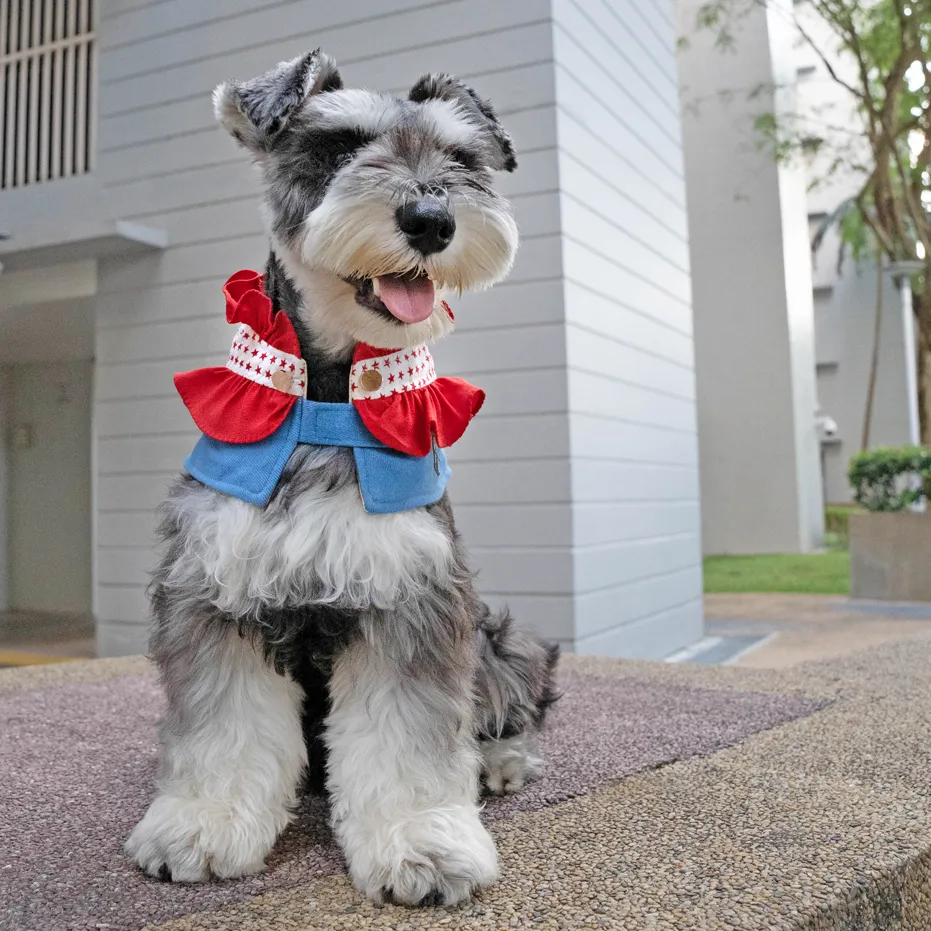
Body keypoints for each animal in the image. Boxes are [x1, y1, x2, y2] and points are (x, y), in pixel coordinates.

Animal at [126, 47, 556, 908]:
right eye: (336, 147)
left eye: (462, 160)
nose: (431, 220)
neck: (326, 396)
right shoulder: (213, 592)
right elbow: (223, 727)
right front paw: (201, 824)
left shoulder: (412, 597)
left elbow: (409, 736)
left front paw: (423, 841)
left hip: (498, 638)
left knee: (502, 705)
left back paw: (498, 761)